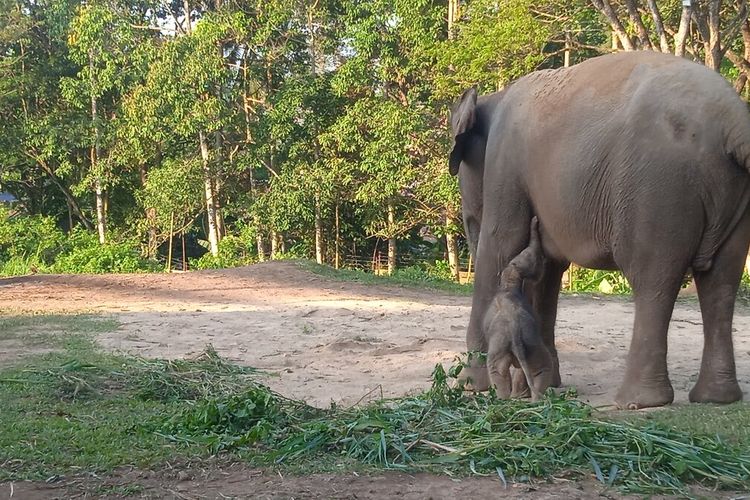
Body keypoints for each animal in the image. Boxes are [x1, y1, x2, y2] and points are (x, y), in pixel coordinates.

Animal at [484, 218, 556, 402]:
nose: (536, 219)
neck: (508, 286)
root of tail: (515, 335)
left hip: (511, 346)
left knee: (499, 371)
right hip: (528, 345)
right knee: (541, 368)